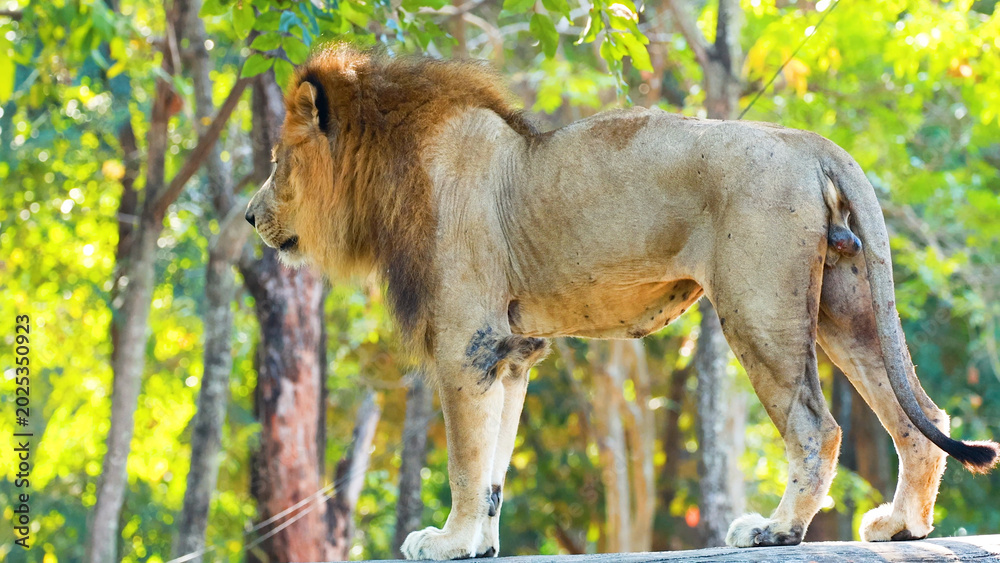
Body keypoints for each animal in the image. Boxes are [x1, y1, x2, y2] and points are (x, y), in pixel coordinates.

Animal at [245, 45, 998, 559]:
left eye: (278, 160)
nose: (250, 216)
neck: (388, 169)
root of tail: (808, 140)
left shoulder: (467, 341)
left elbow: (463, 458)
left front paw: (448, 541)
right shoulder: (511, 350)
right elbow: (492, 466)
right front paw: (478, 542)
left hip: (758, 306)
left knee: (818, 426)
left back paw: (776, 528)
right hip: (843, 307)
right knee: (919, 416)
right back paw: (902, 525)